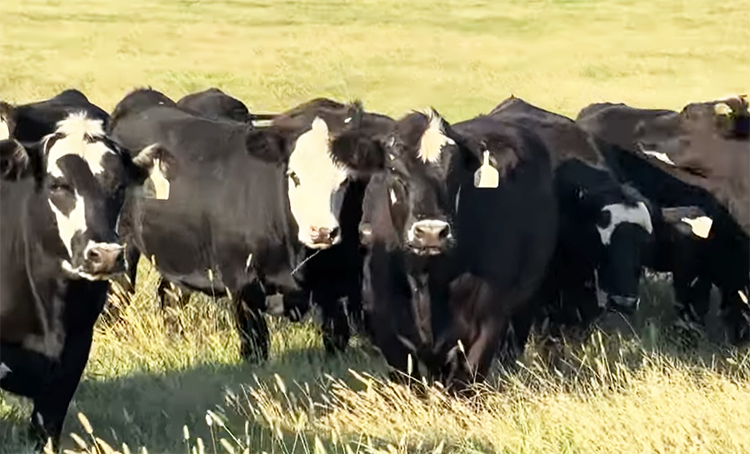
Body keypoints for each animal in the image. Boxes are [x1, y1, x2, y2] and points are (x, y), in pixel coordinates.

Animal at [108, 89, 388, 362]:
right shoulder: (241, 285)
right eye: (293, 175)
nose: (321, 232)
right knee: (119, 293)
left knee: (170, 297)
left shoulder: (336, 289)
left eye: (346, 179)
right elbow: (255, 347)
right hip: (123, 244)